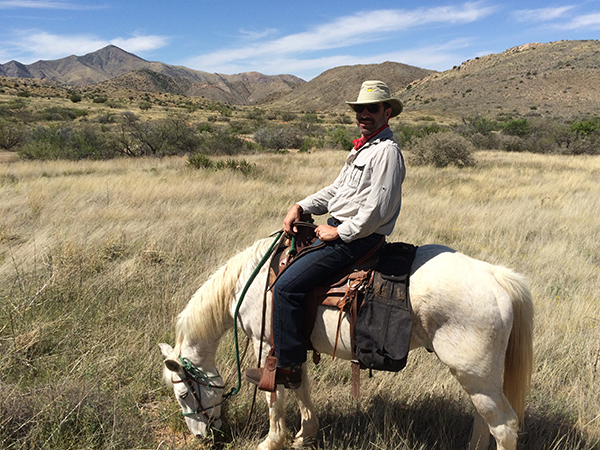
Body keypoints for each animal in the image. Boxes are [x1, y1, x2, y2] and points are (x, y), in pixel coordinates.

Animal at [159, 237, 536, 448]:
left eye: (183, 394)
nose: (201, 436)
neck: (253, 280)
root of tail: (493, 275)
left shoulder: (266, 344)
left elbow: (274, 396)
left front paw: (271, 441)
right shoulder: (292, 344)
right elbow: (300, 387)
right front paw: (305, 435)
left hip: (476, 376)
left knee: (504, 426)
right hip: (479, 379)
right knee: (483, 421)